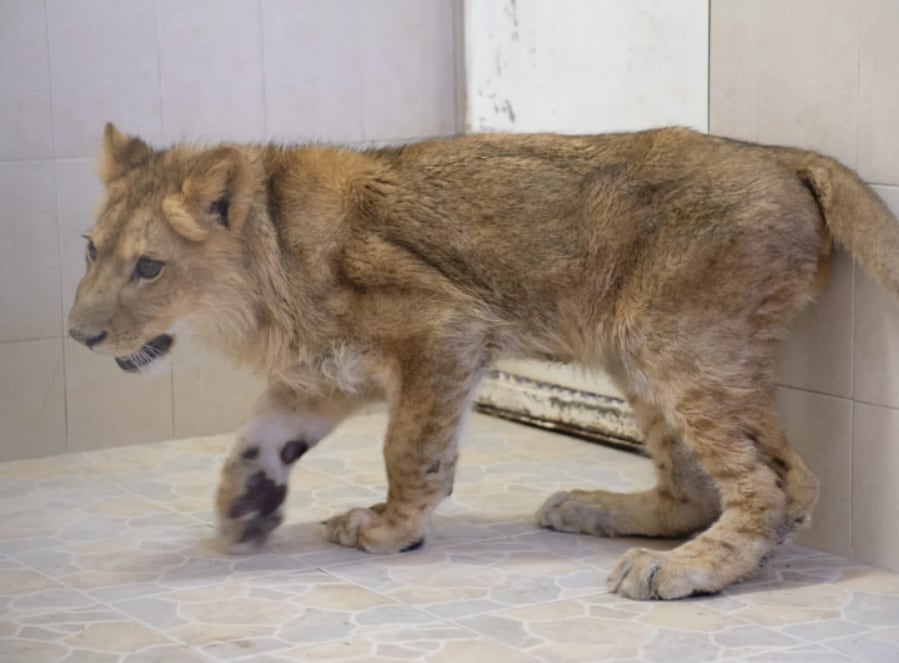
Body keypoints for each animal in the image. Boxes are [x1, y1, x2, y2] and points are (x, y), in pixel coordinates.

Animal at [68, 123, 899, 600]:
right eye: (90, 249)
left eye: (148, 267)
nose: (78, 334)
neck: (269, 254)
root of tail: (783, 156)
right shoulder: (322, 368)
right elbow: (262, 430)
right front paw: (246, 502)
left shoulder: (443, 326)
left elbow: (410, 449)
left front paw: (388, 528)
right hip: (638, 351)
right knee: (693, 486)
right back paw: (595, 509)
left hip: (684, 340)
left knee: (782, 480)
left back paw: (687, 569)